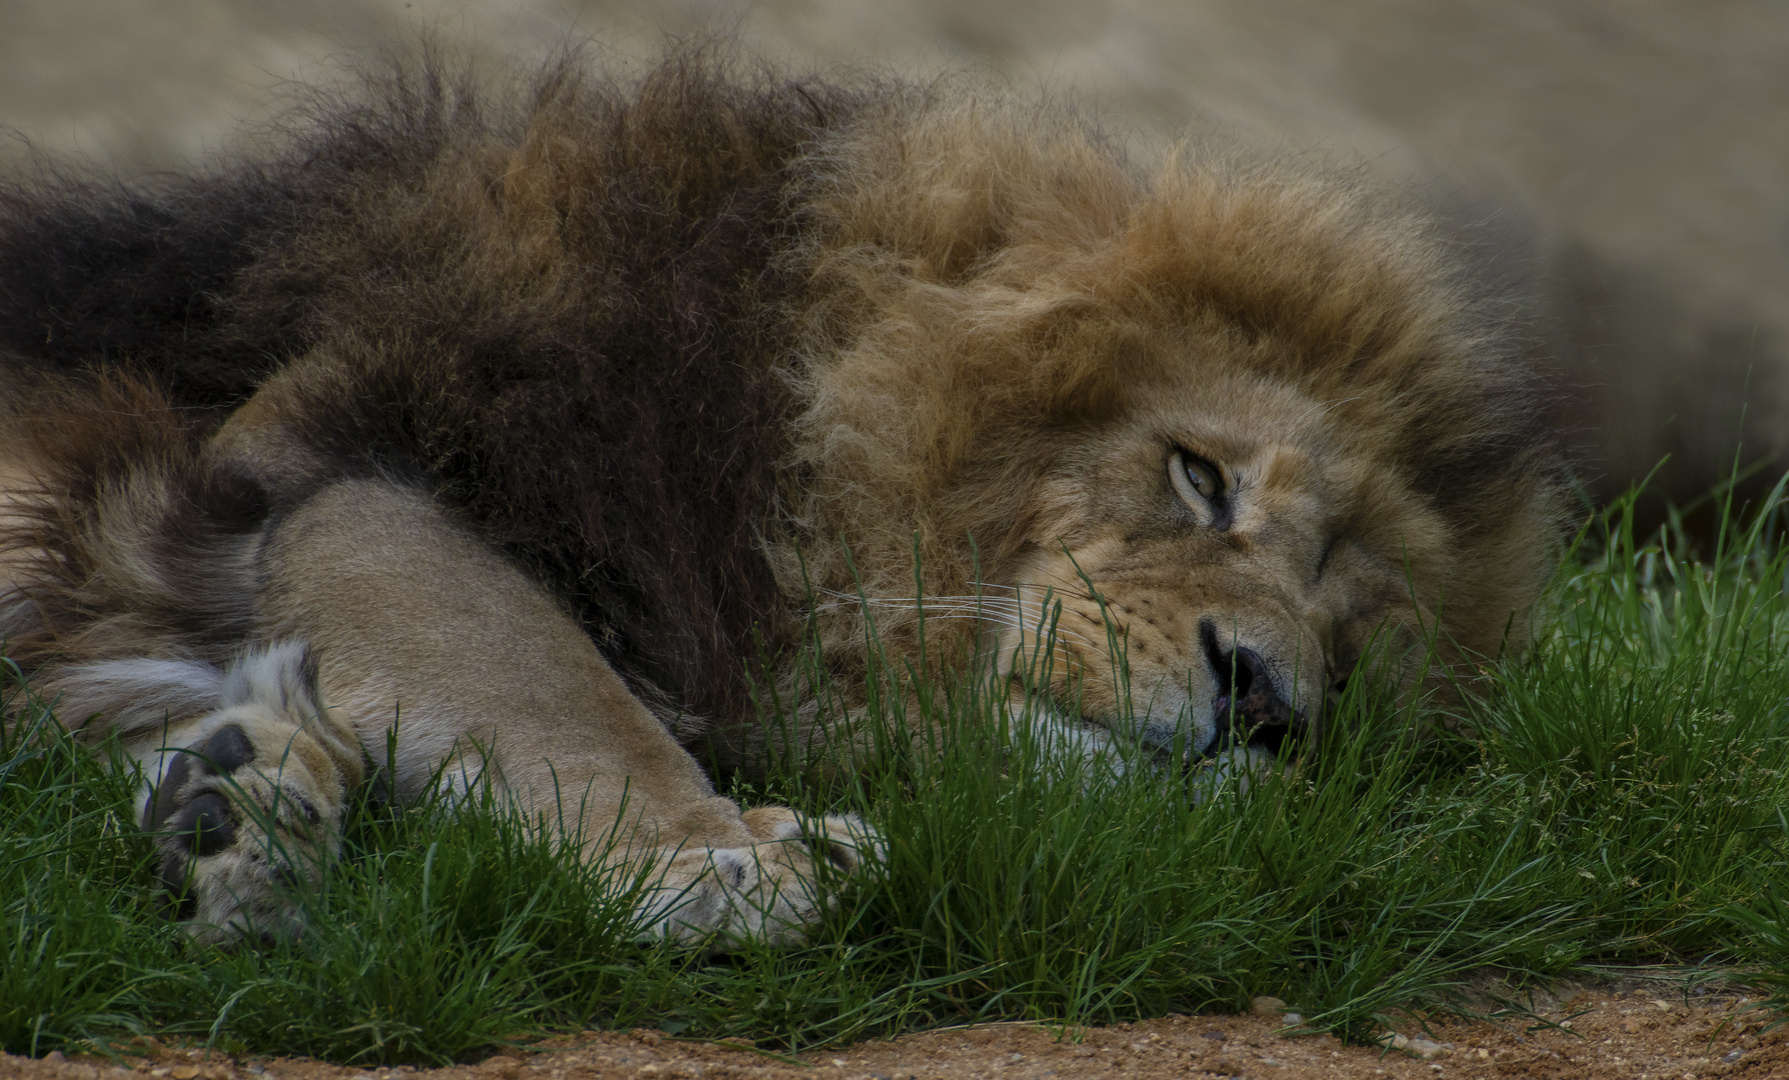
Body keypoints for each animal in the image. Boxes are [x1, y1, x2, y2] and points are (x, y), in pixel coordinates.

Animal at [0, 50, 1567, 944]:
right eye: (1201, 477)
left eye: (1348, 658)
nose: (1262, 699)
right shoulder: (312, 463)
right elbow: (550, 677)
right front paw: (727, 856)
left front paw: (234, 804)